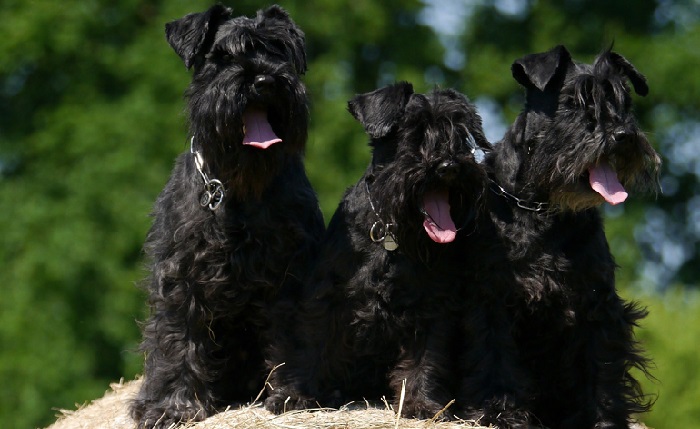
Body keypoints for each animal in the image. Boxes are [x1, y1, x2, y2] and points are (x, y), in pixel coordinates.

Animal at [130, 4, 324, 428]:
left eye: (279, 50)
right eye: (222, 57)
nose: (264, 79)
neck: (239, 188)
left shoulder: (290, 271)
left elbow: (292, 332)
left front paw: (293, 394)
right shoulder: (181, 274)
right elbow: (176, 336)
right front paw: (170, 405)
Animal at [266, 82, 490, 416]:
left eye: (461, 134)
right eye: (413, 133)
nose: (449, 166)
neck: (391, 235)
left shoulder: (432, 304)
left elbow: (426, 358)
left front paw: (421, 402)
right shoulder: (325, 295)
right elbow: (311, 345)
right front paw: (295, 395)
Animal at [456, 45, 660, 426]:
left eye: (624, 102)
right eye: (572, 102)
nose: (623, 135)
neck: (542, 209)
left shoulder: (597, 302)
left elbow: (602, 364)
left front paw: (605, 418)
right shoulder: (492, 299)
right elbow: (495, 356)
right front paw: (501, 412)